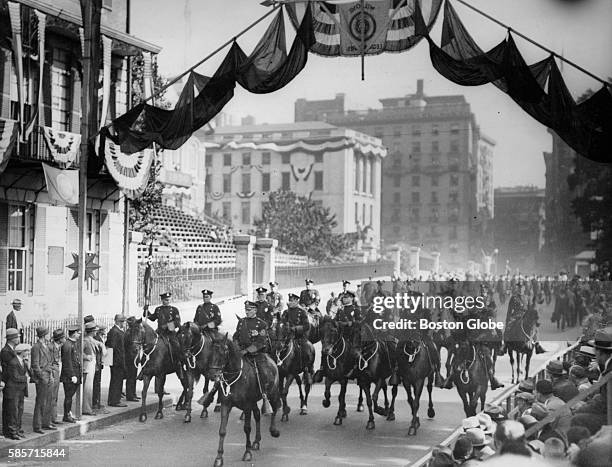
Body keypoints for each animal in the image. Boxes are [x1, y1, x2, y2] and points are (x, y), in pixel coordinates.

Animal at [208, 336, 280, 467]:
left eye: (223, 353)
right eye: (211, 353)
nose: (212, 375)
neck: (234, 378)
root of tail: (271, 361)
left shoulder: (247, 406)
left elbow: (247, 428)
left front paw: (247, 452)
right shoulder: (226, 405)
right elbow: (222, 431)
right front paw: (219, 457)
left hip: (273, 393)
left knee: (275, 408)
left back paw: (274, 431)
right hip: (254, 402)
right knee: (257, 415)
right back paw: (256, 441)